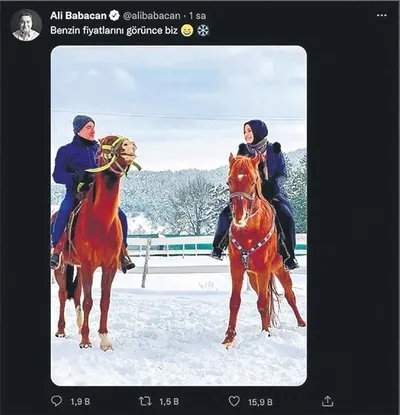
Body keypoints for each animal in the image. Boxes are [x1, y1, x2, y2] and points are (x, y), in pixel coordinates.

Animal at [222, 153, 306, 348]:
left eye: (253, 181)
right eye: (229, 182)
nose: (239, 216)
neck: (249, 232)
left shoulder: (263, 270)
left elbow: (262, 303)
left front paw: (266, 333)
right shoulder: (237, 268)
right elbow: (235, 302)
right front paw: (229, 338)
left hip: (280, 270)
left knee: (290, 296)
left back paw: (301, 323)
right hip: (254, 278)